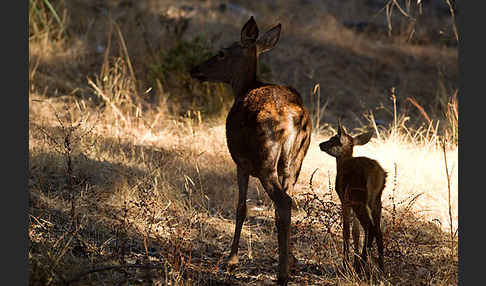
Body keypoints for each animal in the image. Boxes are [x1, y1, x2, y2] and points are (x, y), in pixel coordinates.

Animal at [190, 16, 312, 284]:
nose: (195, 69)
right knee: (288, 202)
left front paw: (231, 260)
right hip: (295, 162)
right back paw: (290, 263)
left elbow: (241, 208)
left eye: (221, 53)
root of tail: (293, 118)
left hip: (265, 159)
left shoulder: (240, 163)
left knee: (283, 202)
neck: (244, 87)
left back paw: (281, 274)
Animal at [320, 121, 386, 272]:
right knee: (378, 230)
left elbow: (346, 231)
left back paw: (363, 263)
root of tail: (376, 175)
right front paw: (353, 262)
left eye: (333, 139)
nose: (320, 144)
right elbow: (356, 232)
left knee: (369, 227)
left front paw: (346, 264)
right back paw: (380, 267)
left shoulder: (344, 199)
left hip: (358, 198)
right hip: (376, 200)